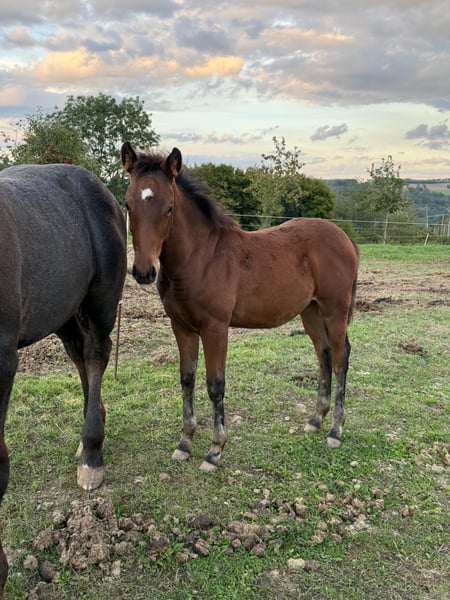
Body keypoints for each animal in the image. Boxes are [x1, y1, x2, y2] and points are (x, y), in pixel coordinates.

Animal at [121, 141, 359, 473]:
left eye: (169, 207)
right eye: (128, 205)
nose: (144, 272)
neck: (201, 258)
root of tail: (343, 237)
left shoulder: (215, 328)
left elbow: (215, 384)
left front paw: (215, 451)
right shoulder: (181, 326)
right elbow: (187, 379)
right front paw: (184, 444)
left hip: (335, 309)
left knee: (339, 358)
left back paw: (336, 430)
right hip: (310, 311)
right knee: (323, 354)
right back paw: (315, 420)